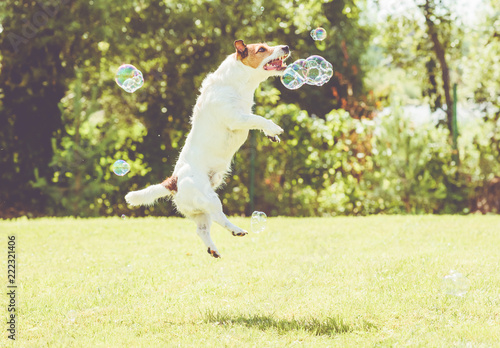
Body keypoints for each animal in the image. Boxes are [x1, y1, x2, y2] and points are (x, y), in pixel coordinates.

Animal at [125, 40, 290, 258]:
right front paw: (274, 127)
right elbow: (258, 118)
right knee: (219, 216)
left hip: (199, 211)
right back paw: (236, 230)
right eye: (261, 49)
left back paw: (213, 249)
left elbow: (256, 119)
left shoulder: (243, 115)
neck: (236, 83)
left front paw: (271, 134)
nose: (286, 47)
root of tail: (173, 181)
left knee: (201, 229)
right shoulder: (237, 118)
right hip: (209, 199)